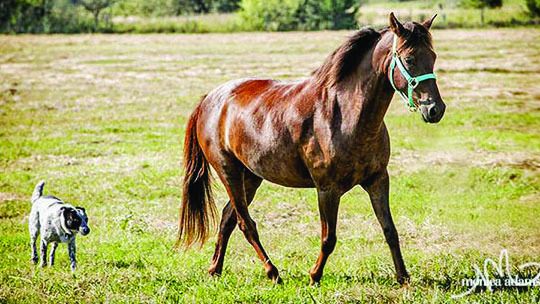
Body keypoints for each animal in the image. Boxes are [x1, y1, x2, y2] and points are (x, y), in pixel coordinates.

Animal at [179, 13, 446, 286]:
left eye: (433, 56)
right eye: (410, 59)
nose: (435, 109)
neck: (345, 115)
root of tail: (209, 99)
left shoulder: (378, 180)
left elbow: (390, 230)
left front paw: (403, 277)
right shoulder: (327, 189)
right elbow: (329, 238)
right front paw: (314, 276)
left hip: (251, 177)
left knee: (227, 219)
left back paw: (215, 268)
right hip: (229, 172)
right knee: (246, 223)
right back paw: (272, 272)